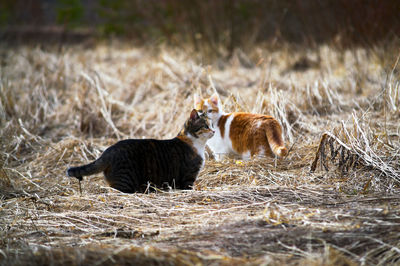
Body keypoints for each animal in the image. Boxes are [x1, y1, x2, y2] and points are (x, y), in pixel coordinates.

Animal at [67, 109, 214, 193]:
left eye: (212, 125)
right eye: (206, 126)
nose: (214, 131)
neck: (196, 143)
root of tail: (107, 152)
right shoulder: (189, 177)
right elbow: (188, 187)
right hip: (126, 179)